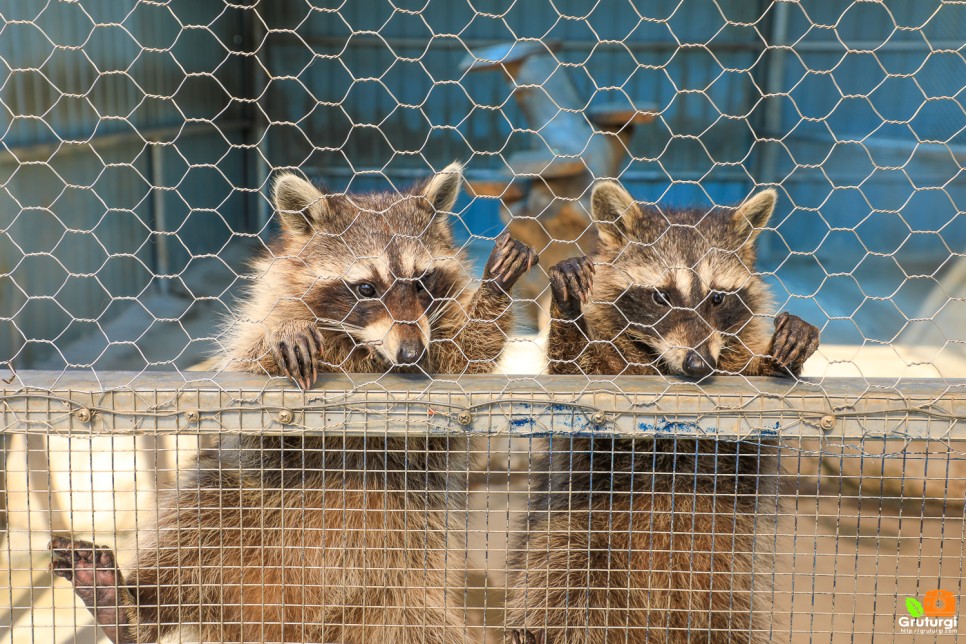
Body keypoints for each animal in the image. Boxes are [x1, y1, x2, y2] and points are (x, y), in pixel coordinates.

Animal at [53, 162, 540, 644]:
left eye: (421, 283)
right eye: (366, 288)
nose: (410, 353)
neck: (364, 350)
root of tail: (285, 625)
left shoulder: (438, 356)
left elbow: (467, 362)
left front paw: (491, 293)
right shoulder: (265, 326)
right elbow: (248, 383)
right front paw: (283, 332)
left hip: (405, 590)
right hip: (239, 517)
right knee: (195, 517)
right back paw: (128, 607)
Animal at [502, 181, 820, 644]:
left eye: (717, 297)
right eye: (661, 296)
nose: (699, 365)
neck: (662, 365)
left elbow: (758, 427)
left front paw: (781, 359)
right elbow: (577, 385)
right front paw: (569, 311)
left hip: (728, 582)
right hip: (570, 549)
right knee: (563, 601)